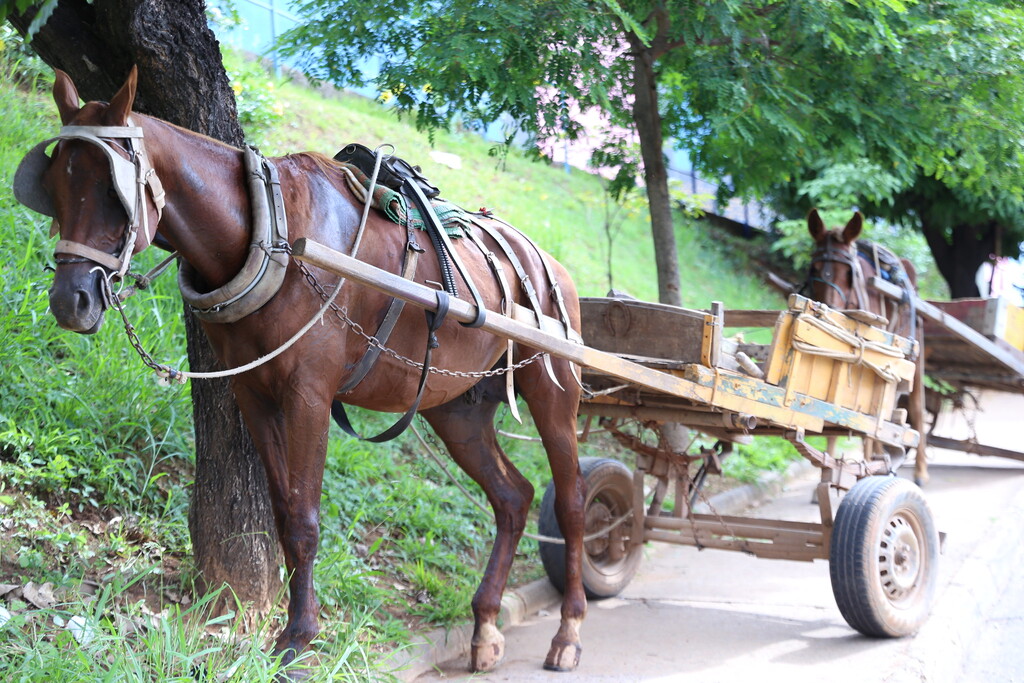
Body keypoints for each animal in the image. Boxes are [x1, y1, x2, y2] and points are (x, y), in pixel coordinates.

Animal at [19, 66, 589, 675]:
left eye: (113, 191)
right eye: (54, 185)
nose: (70, 301)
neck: (272, 230)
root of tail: (549, 264)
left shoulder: (308, 396)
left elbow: (305, 519)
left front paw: (298, 638)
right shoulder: (253, 392)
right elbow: (283, 511)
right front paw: (294, 628)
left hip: (553, 390)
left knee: (571, 500)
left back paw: (569, 630)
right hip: (458, 409)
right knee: (513, 497)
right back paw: (484, 626)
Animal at [802, 209, 933, 485]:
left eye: (849, 274)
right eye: (813, 269)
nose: (831, 311)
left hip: (913, 358)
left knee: (914, 407)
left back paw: (918, 470)